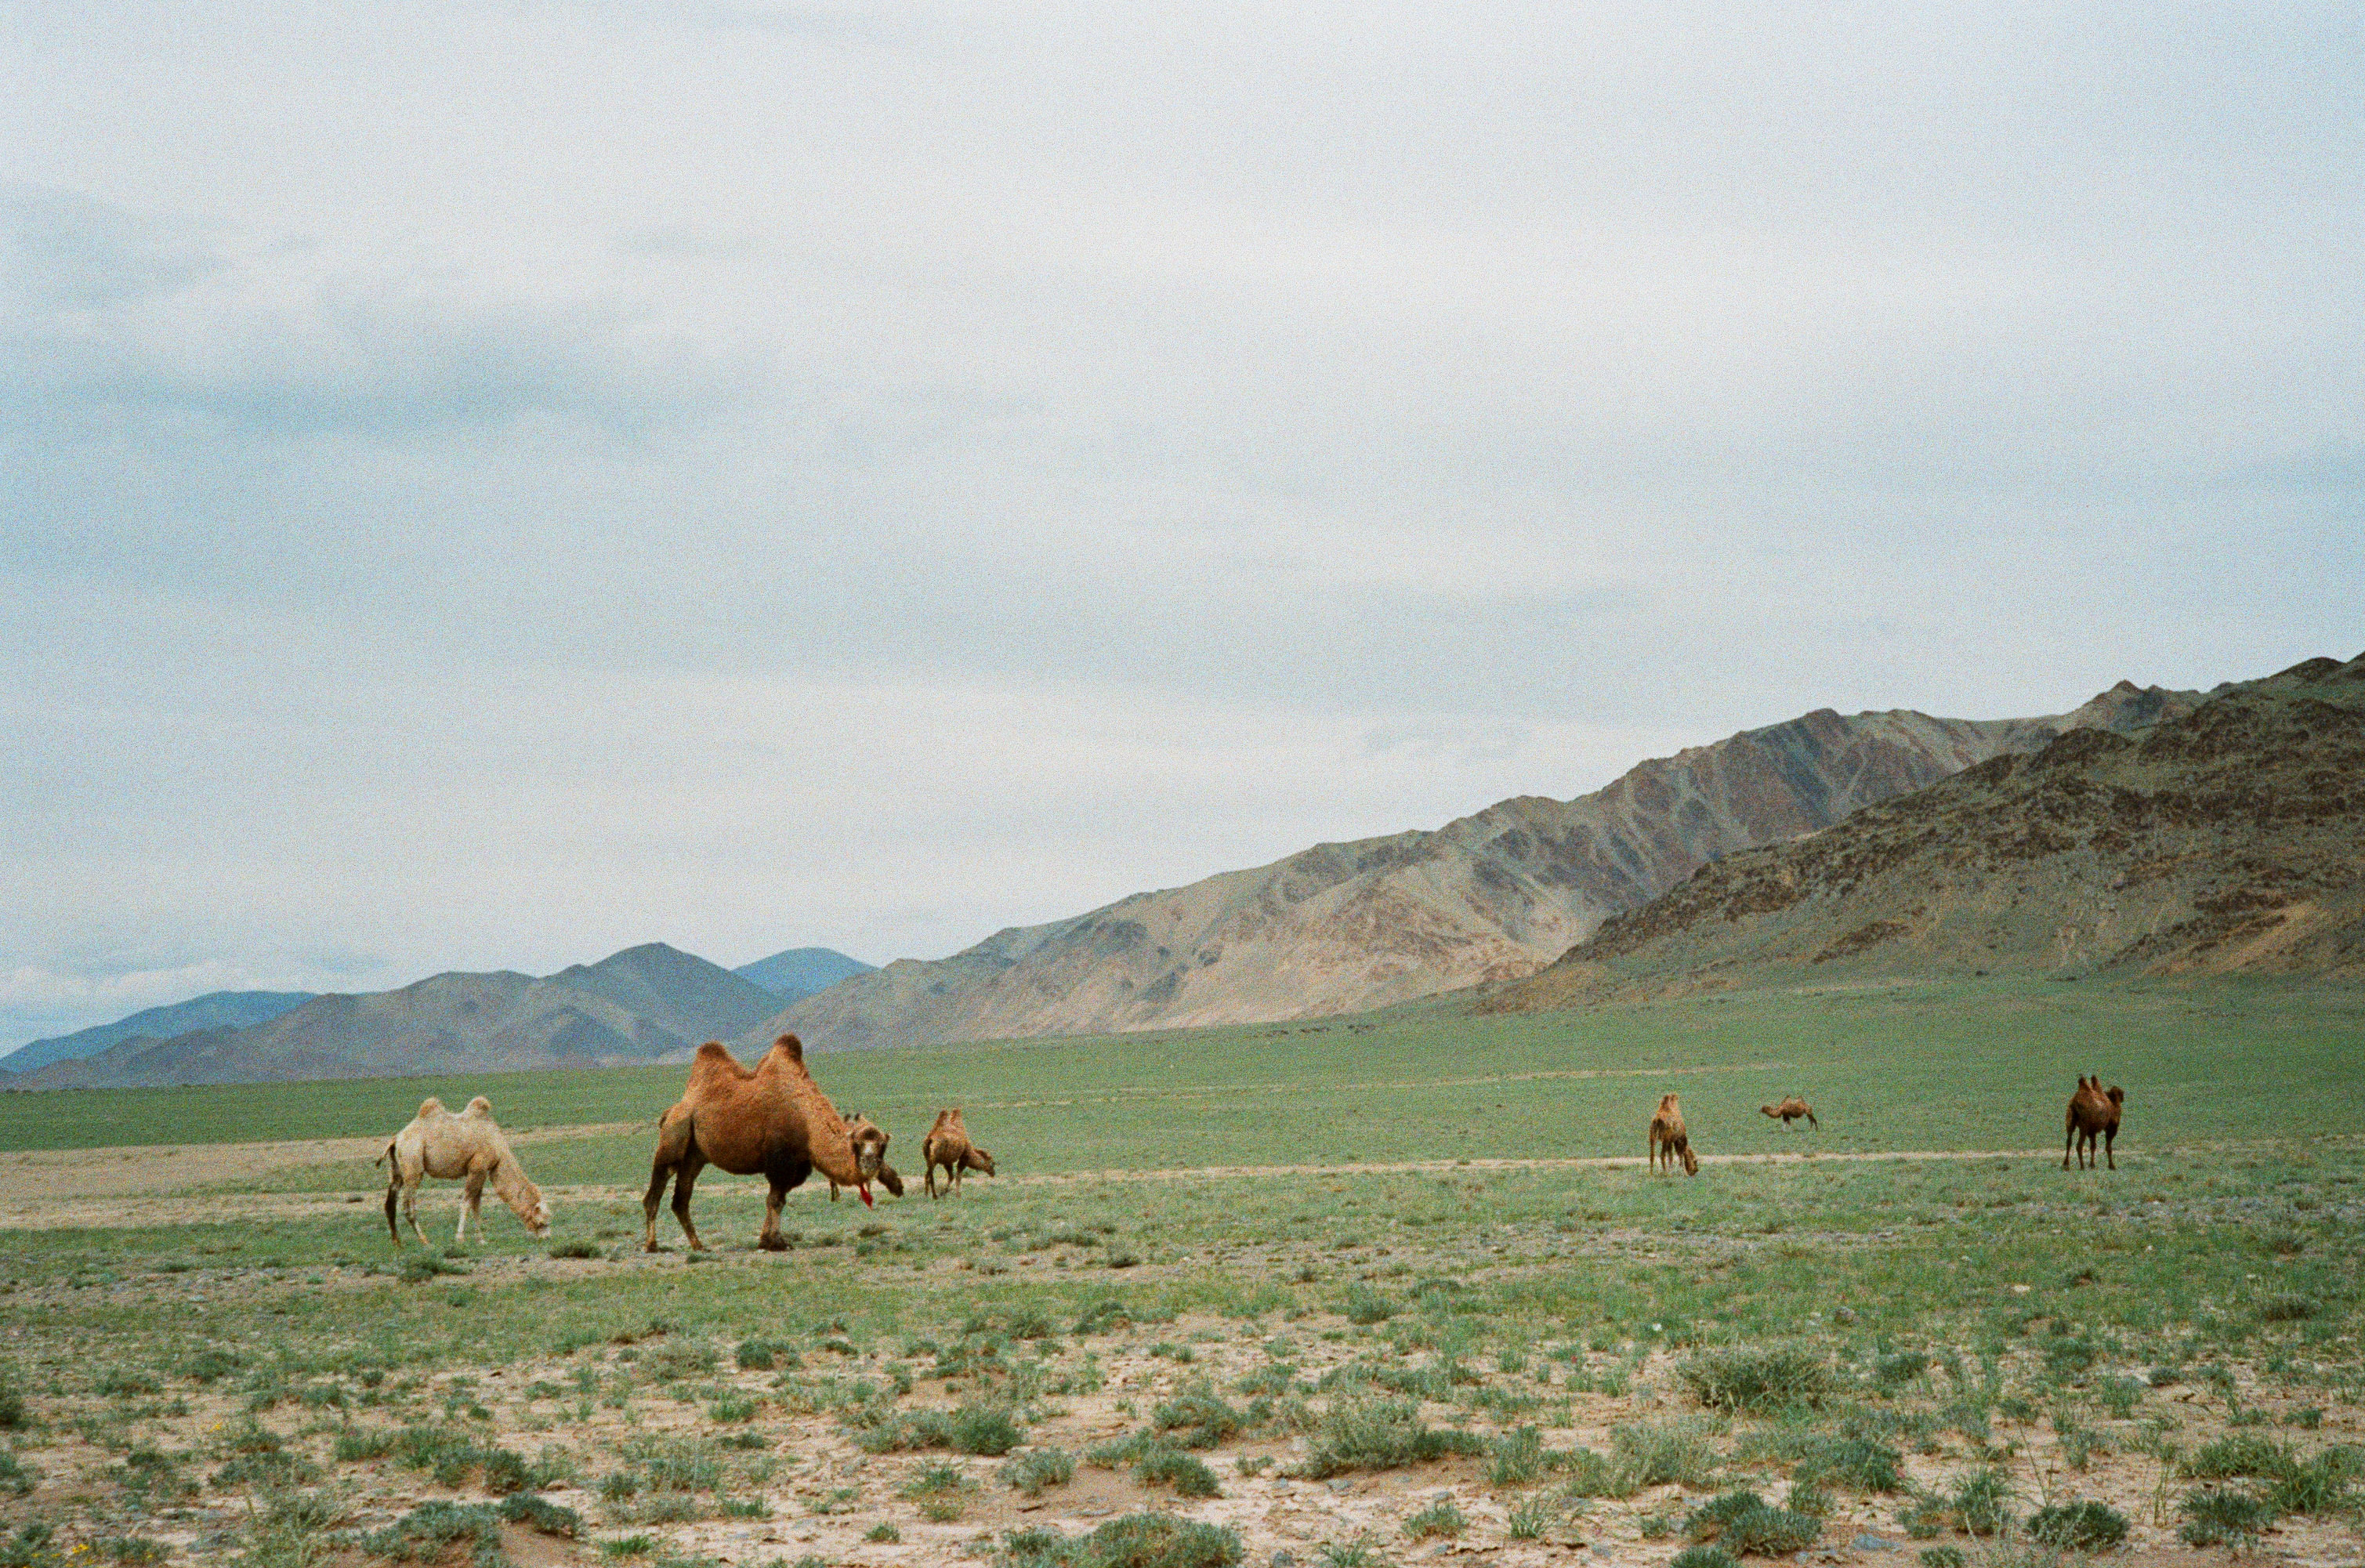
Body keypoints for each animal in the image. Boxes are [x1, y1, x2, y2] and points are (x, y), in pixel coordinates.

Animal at [378, 1096, 551, 1247]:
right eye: (542, 1222)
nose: (547, 1238)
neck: (499, 1148)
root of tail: (396, 1139)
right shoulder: (478, 1167)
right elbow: (466, 1203)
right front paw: (460, 1238)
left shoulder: (482, 1172)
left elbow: (476, 1205)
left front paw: (481, 1240)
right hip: (413, 1165)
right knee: (408, 1206)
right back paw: (425, 1241)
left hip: (397, 1169)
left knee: (390, 1202)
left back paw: (397, 1242)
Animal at [643, 1034, 887, 1252]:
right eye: (858, 1145)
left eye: (883, 1147)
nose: (870, 1163)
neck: (805, 1120)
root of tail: (670, 1112)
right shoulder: (780, 1161)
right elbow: (776, 1201)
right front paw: (776, 1243)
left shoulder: (796, 1166)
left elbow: (775, 1199)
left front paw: (766, 1240)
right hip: (673, 1137)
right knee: (656, 1190)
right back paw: (652, 1245)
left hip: (695, 1156)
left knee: (681, 1199)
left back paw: (699, 1245)